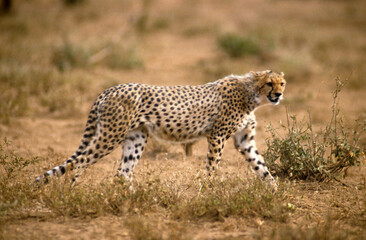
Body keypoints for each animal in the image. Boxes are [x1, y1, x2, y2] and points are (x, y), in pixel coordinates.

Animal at [35, 70, 286, 187]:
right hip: (109, 135)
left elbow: (261, 166)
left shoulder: (244, 140)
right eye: (269, 83)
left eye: (282, 83)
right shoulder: (217, 136)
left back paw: (134, 201)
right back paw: (71, 192)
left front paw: (275, 191)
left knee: (122, 172)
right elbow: (213, 166)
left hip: (136, 138)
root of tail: (110, 88)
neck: (251, 94)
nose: (279, 94)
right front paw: (209, 189)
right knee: (80, 162)